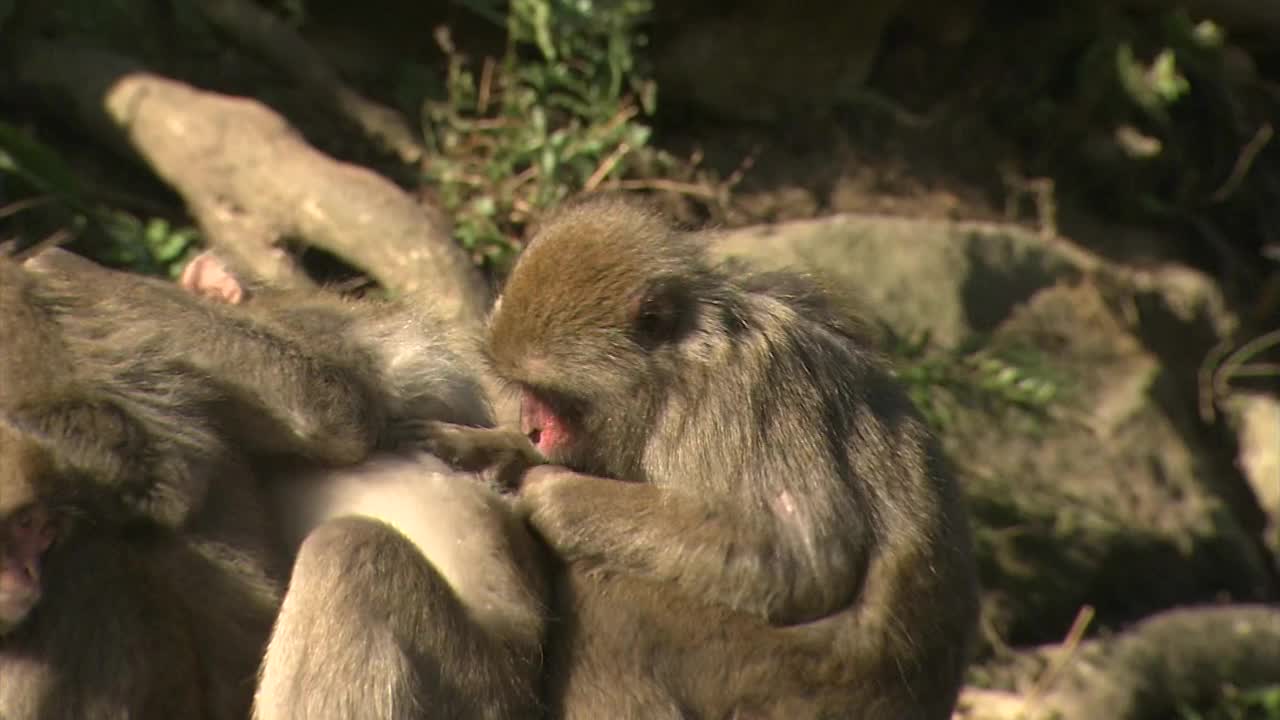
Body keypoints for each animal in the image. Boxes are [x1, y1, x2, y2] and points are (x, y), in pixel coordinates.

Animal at [427, 192, 977, 717]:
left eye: (552, 395)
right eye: (522, 390)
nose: (533, 428)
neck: (675, 375)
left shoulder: (744, 396)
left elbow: (804, 556)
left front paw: (550, 494)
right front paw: (490, 450)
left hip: (796, 681)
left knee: (612, 597)